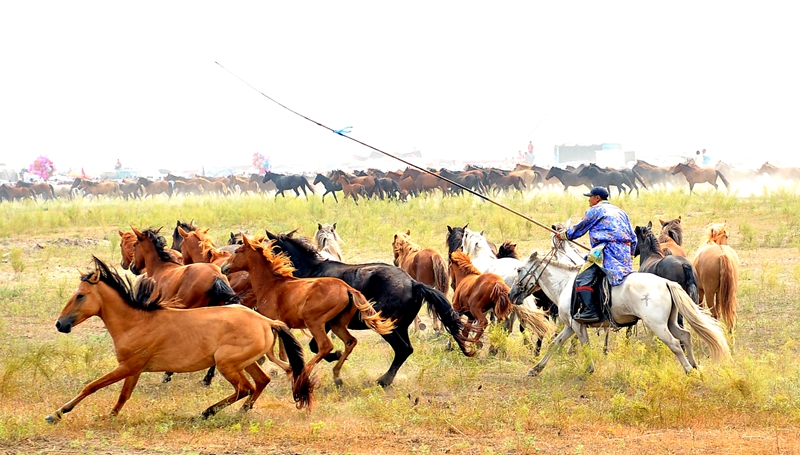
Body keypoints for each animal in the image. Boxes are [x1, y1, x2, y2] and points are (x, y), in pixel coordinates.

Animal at [46, 256, 312, 423]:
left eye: (80, 296)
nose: (60, 324)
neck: (135, 321)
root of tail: (266, 321)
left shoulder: (128, 366)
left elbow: (92, 386)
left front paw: (57, 414)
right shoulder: (134, 369)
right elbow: (123, 395)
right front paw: (109, 416)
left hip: (227, 363)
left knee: (245, 388)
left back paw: (206, 412)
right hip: (245, 362)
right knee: (261, 382)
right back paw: (242, 411)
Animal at [221, 236, 395, 386]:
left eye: (237, 251)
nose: (223, 267)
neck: (271, 285)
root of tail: (347, 288)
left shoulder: (273, 324)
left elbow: (271, 353)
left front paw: (289, 370)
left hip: (314, 322)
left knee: (325, 346)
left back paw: (304, 375)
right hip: (337, 323)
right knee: (350, 341)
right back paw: (337, 376)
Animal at [265, 229, 474, 387]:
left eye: (270, 248)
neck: (312, 271)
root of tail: (413, 284)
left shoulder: (322, 323)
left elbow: (315, 346)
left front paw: (336, 357)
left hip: (386, 326)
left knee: (402, 349)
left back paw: (383, 380)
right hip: (400, 326)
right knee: (406, 349)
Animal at [508, 240, 731, 376]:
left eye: (519, 270)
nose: (511, 295)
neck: (565, 283)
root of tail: (667, 283)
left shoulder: (577, 326)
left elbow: (585, 346)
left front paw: (589, 369)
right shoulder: (571, 326)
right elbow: (555, 344)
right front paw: (536, 368)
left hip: (657, 325)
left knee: (676, 344)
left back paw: (688, 370)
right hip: (669, 321)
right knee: (685, 336)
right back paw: (695, 366)